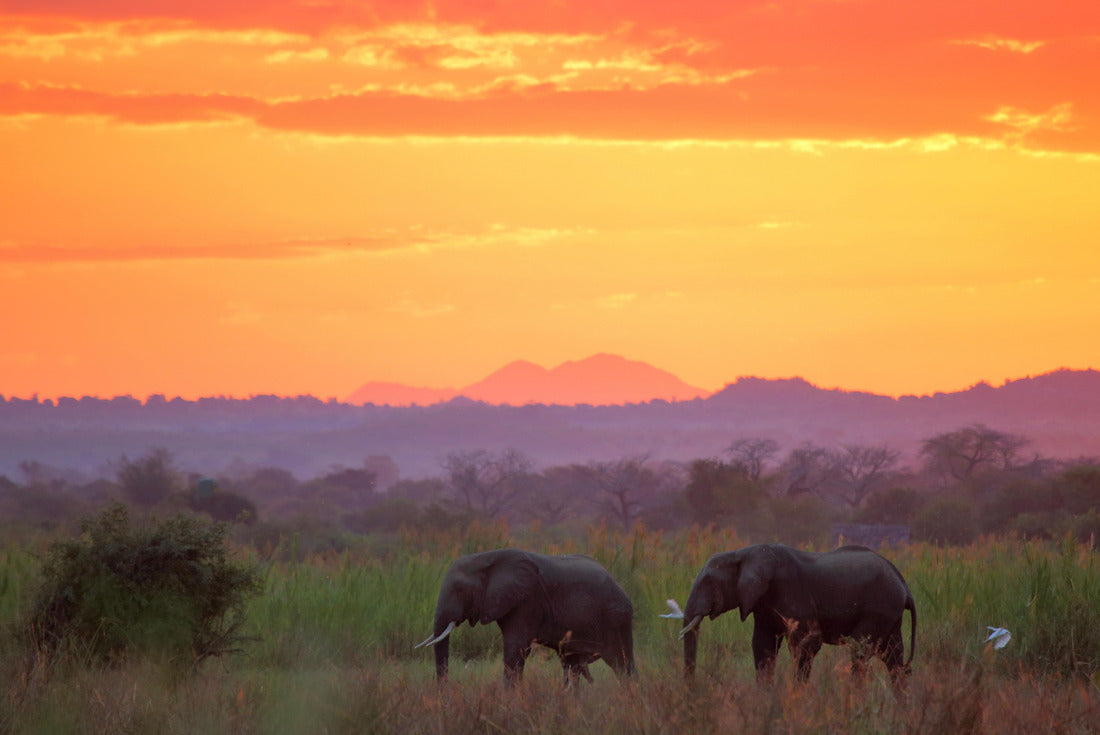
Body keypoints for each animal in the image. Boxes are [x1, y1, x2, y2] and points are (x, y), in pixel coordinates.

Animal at [415, 548, 635, 686]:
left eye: (460, 590)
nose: (445, 694)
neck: (486, 558)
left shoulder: (527, 600)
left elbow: (515, 648)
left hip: (616, 619)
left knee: (622, 664)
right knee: (572, 665)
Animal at [680, 543, 915, 688]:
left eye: (709, 581)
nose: (692, 690)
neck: (742, 553)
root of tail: (904, 584)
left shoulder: (791, 590)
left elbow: (808, 643)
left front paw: (797, 696)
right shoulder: (762, 602)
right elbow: (763, 644)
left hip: (879, 607)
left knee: (860, 651)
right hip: (890, 613)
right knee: (893, 658)